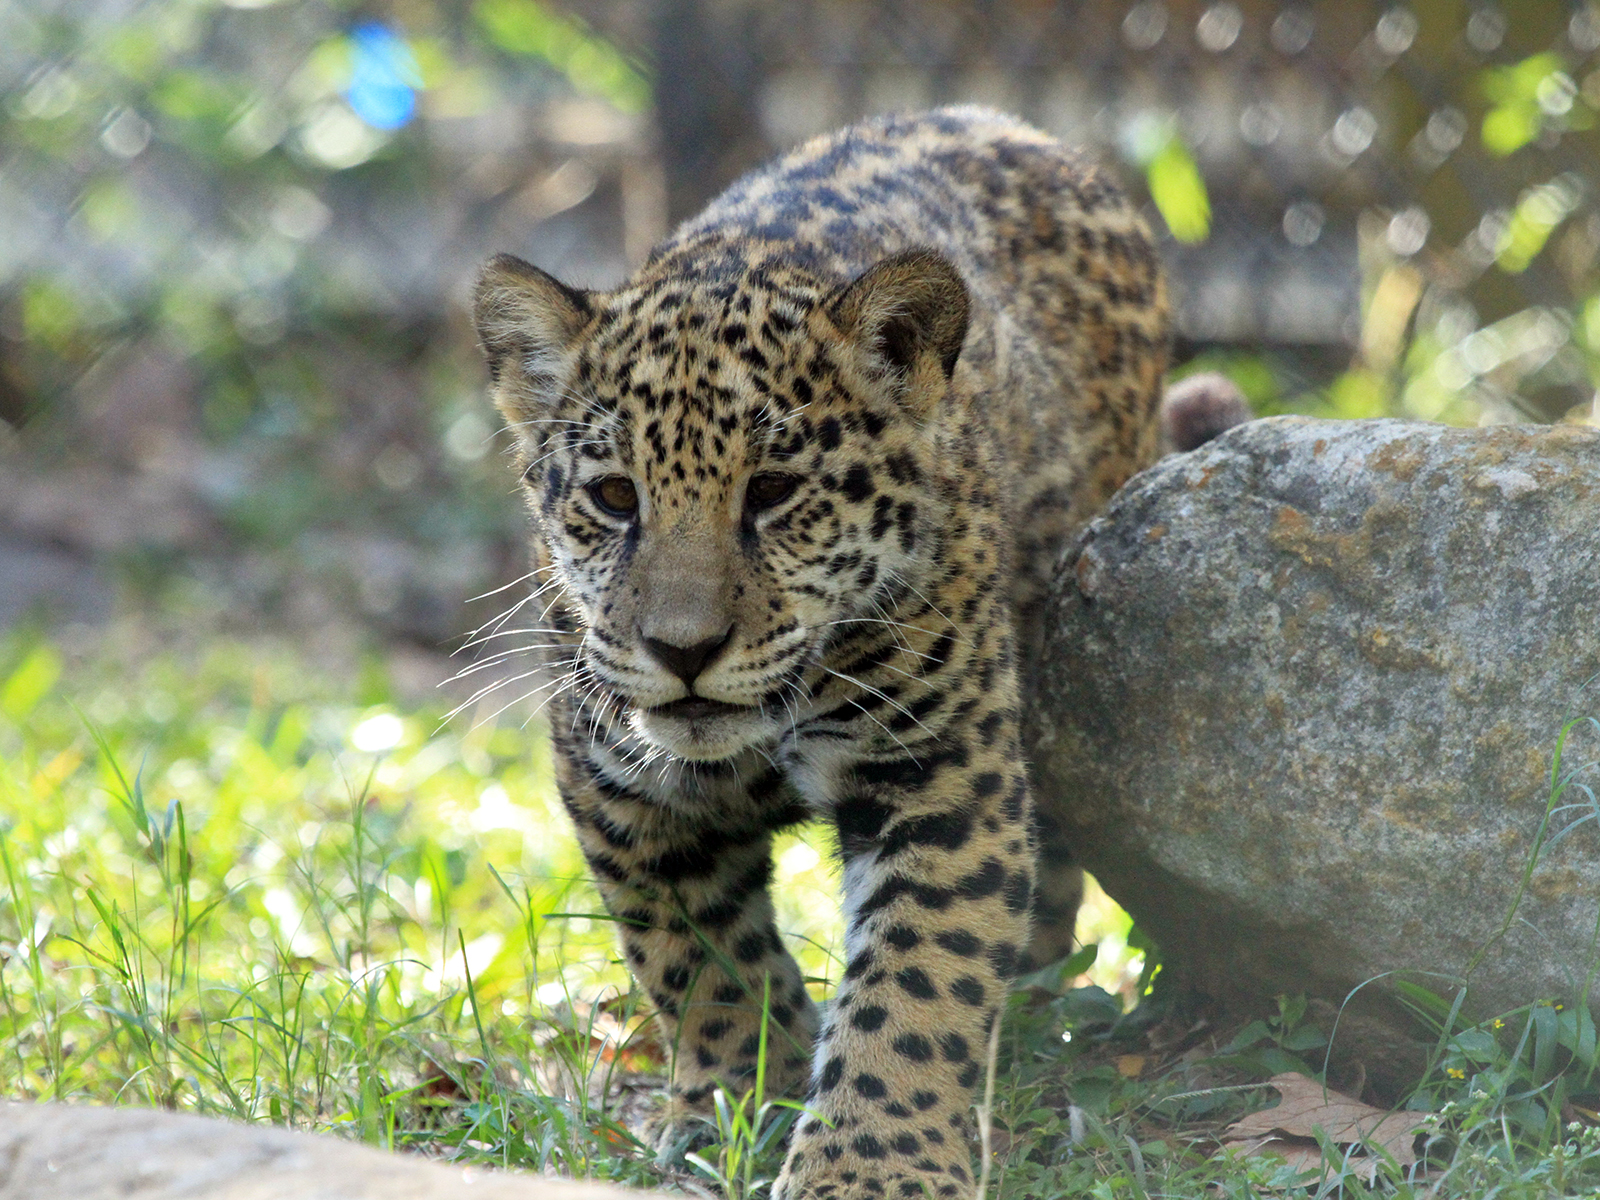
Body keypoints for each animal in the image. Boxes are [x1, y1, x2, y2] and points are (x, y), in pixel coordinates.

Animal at [472, 106, 1169, 1200]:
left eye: (772, 493)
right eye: (615, 498)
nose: (683, 650)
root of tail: (1010, 123)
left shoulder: (940, 768)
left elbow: (920, 976)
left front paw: (872, 1166)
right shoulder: (622, 789)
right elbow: (699, 960)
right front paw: (740, 1104)